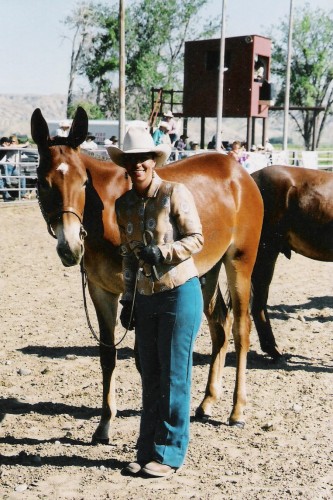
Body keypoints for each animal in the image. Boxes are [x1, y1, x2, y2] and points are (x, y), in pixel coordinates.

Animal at [31, 105, 264, 442]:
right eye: (41, 182)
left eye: (84, 182)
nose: (70, 247)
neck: (105, 213)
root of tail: (239, 173)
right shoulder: (102, 292)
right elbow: (107, 355)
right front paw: (104, 424)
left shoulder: (138, 298)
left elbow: (144, 360)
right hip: (207, 270)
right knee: (220, 324)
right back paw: (207, 402)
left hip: (240, 263)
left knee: (241, 330)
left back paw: (237, 410)